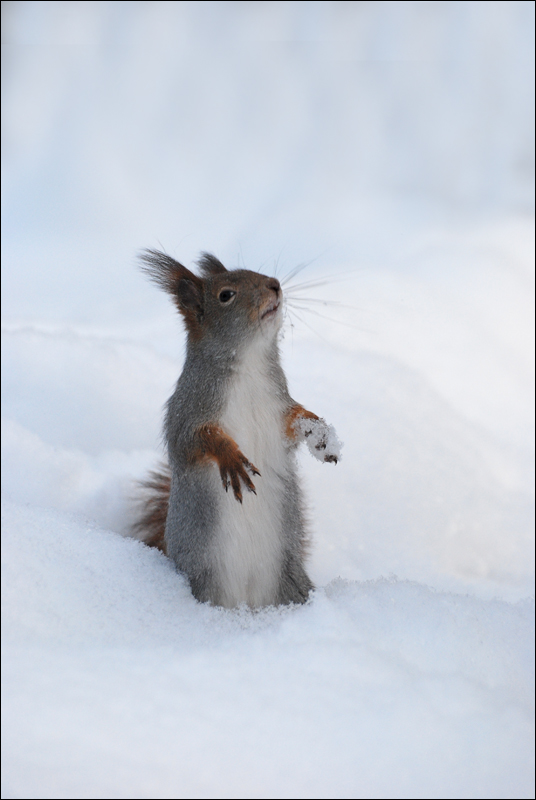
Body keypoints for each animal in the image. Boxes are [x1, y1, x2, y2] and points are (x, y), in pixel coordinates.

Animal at [135, 250, 344, 608]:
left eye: (255, 272)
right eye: (226, 295)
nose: (274, 285)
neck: (249, 365)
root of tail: (246, 603)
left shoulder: (277, 409)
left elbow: (296, 422)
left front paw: (321, 433)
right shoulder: (187, 409)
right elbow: (193, 440)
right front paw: (230, 456)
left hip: (290, 582)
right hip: (204, 582)